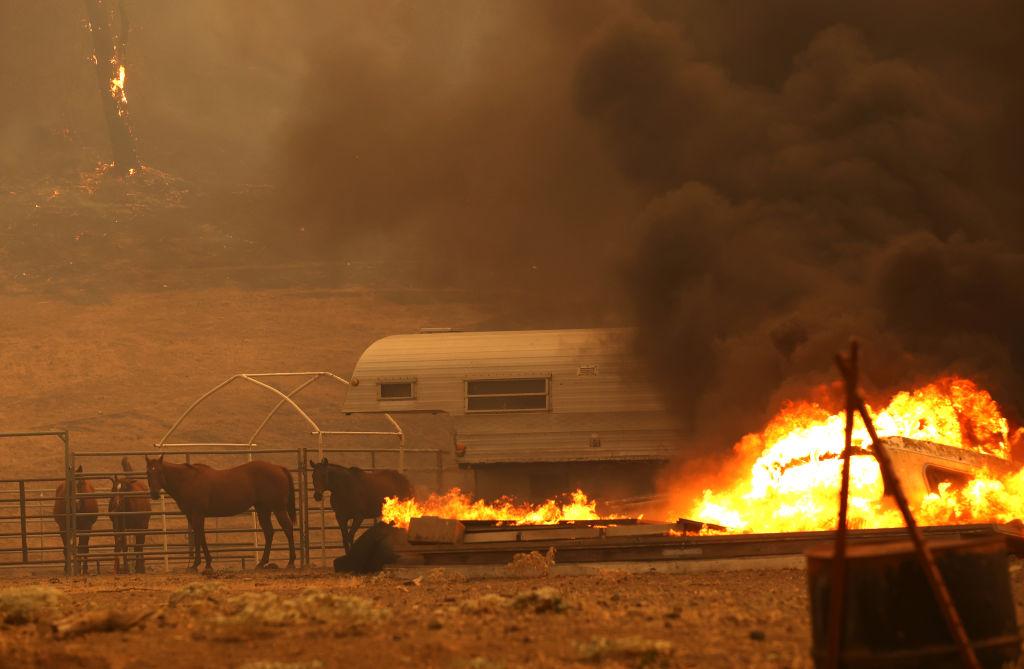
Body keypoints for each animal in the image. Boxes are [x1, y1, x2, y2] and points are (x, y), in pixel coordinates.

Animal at [144, 450, 296, 569]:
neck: (188, 480)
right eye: (148, 473)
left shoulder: (197, 514)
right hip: (263, 510)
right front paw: (201, 564)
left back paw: (291, 562)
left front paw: (202, 564)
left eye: (160, 471)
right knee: (269, 533)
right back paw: (261, 563)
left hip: (278, 508)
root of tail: (279, 468)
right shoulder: (191, 515)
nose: (155, 494)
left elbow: (200, 536)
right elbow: (198, 536)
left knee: (288, 528)